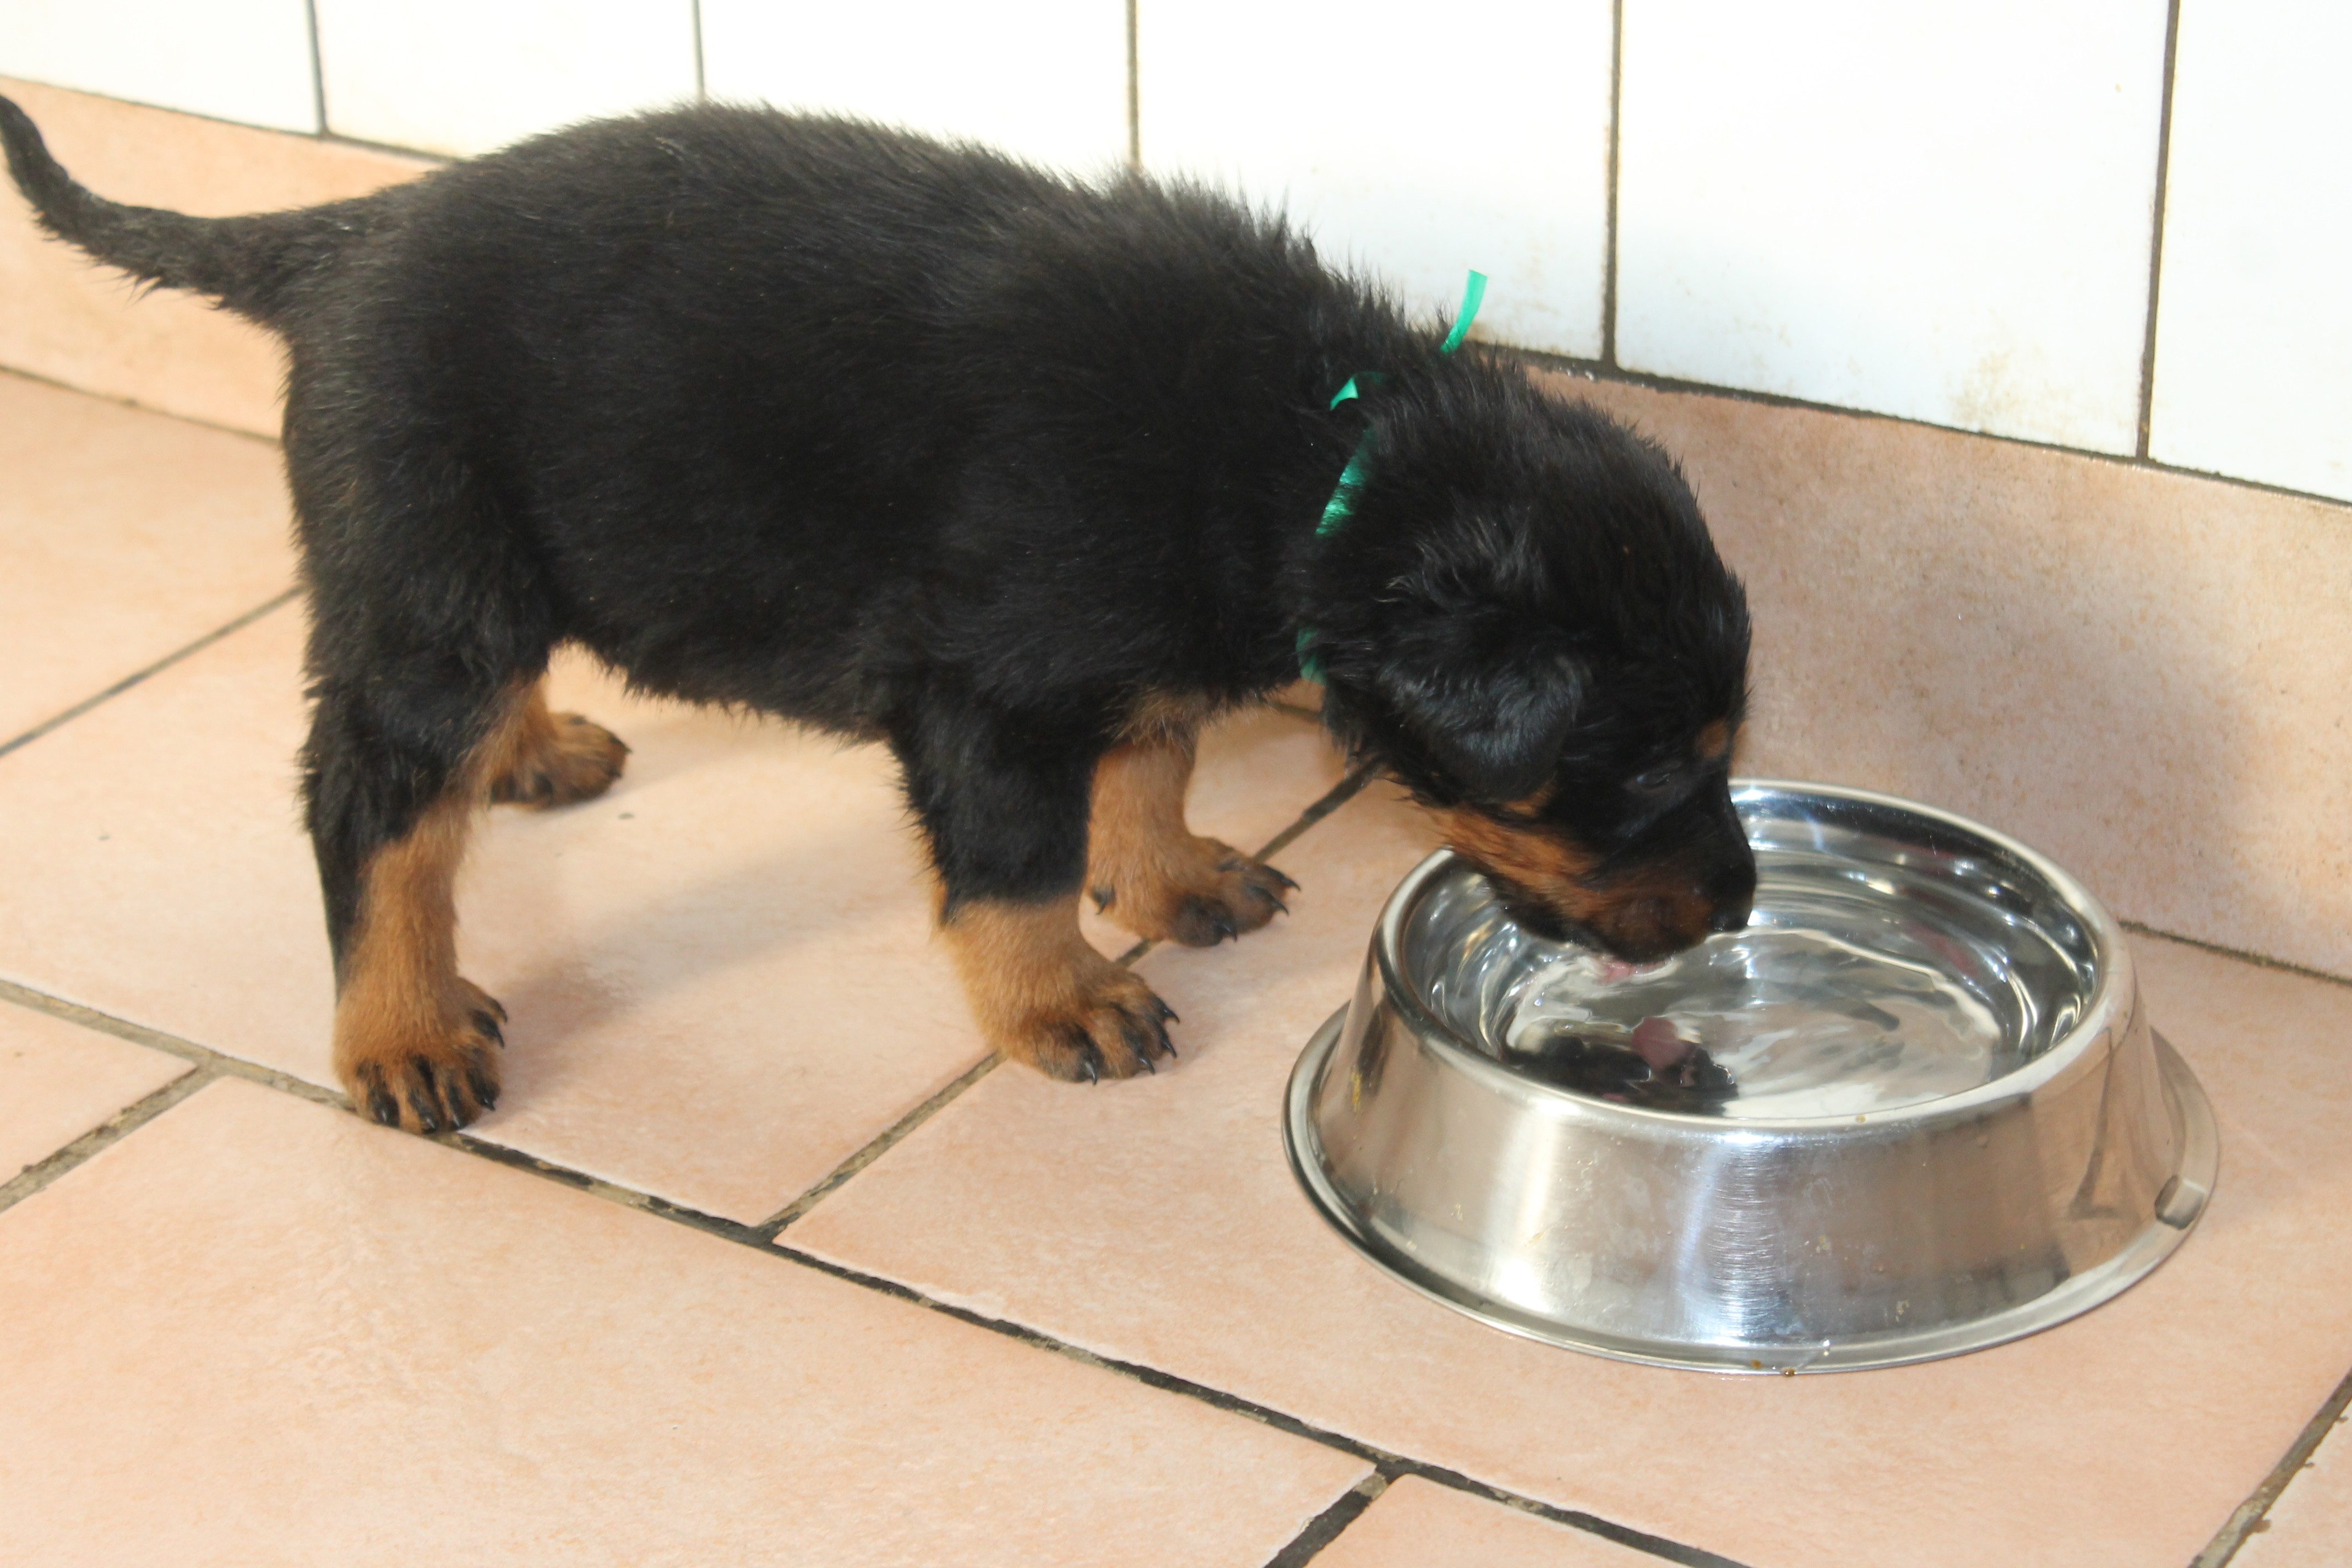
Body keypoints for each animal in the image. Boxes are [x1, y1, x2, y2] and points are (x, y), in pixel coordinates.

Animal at [0, 95, 1750, 1128]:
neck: (1313, 451)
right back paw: (403, 1027)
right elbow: (1015, 868)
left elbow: (1152, 754)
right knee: (370, 806)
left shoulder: (1123, 656)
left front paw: (1167, 873)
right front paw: (1062, 1001)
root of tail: (336, 240)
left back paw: (531, 754)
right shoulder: (988, 691)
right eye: (1654, 767)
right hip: (429, 575)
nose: (1735, 902)